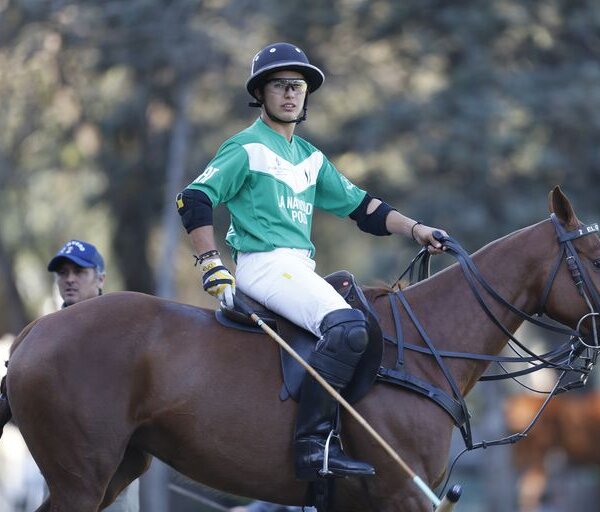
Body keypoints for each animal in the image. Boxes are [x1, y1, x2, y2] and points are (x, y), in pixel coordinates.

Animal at [1, 186, 600, 510]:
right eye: (595, 257)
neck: (427, 350)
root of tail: (32, 332)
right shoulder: (403, 495)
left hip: (119, 466)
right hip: (82, 475)